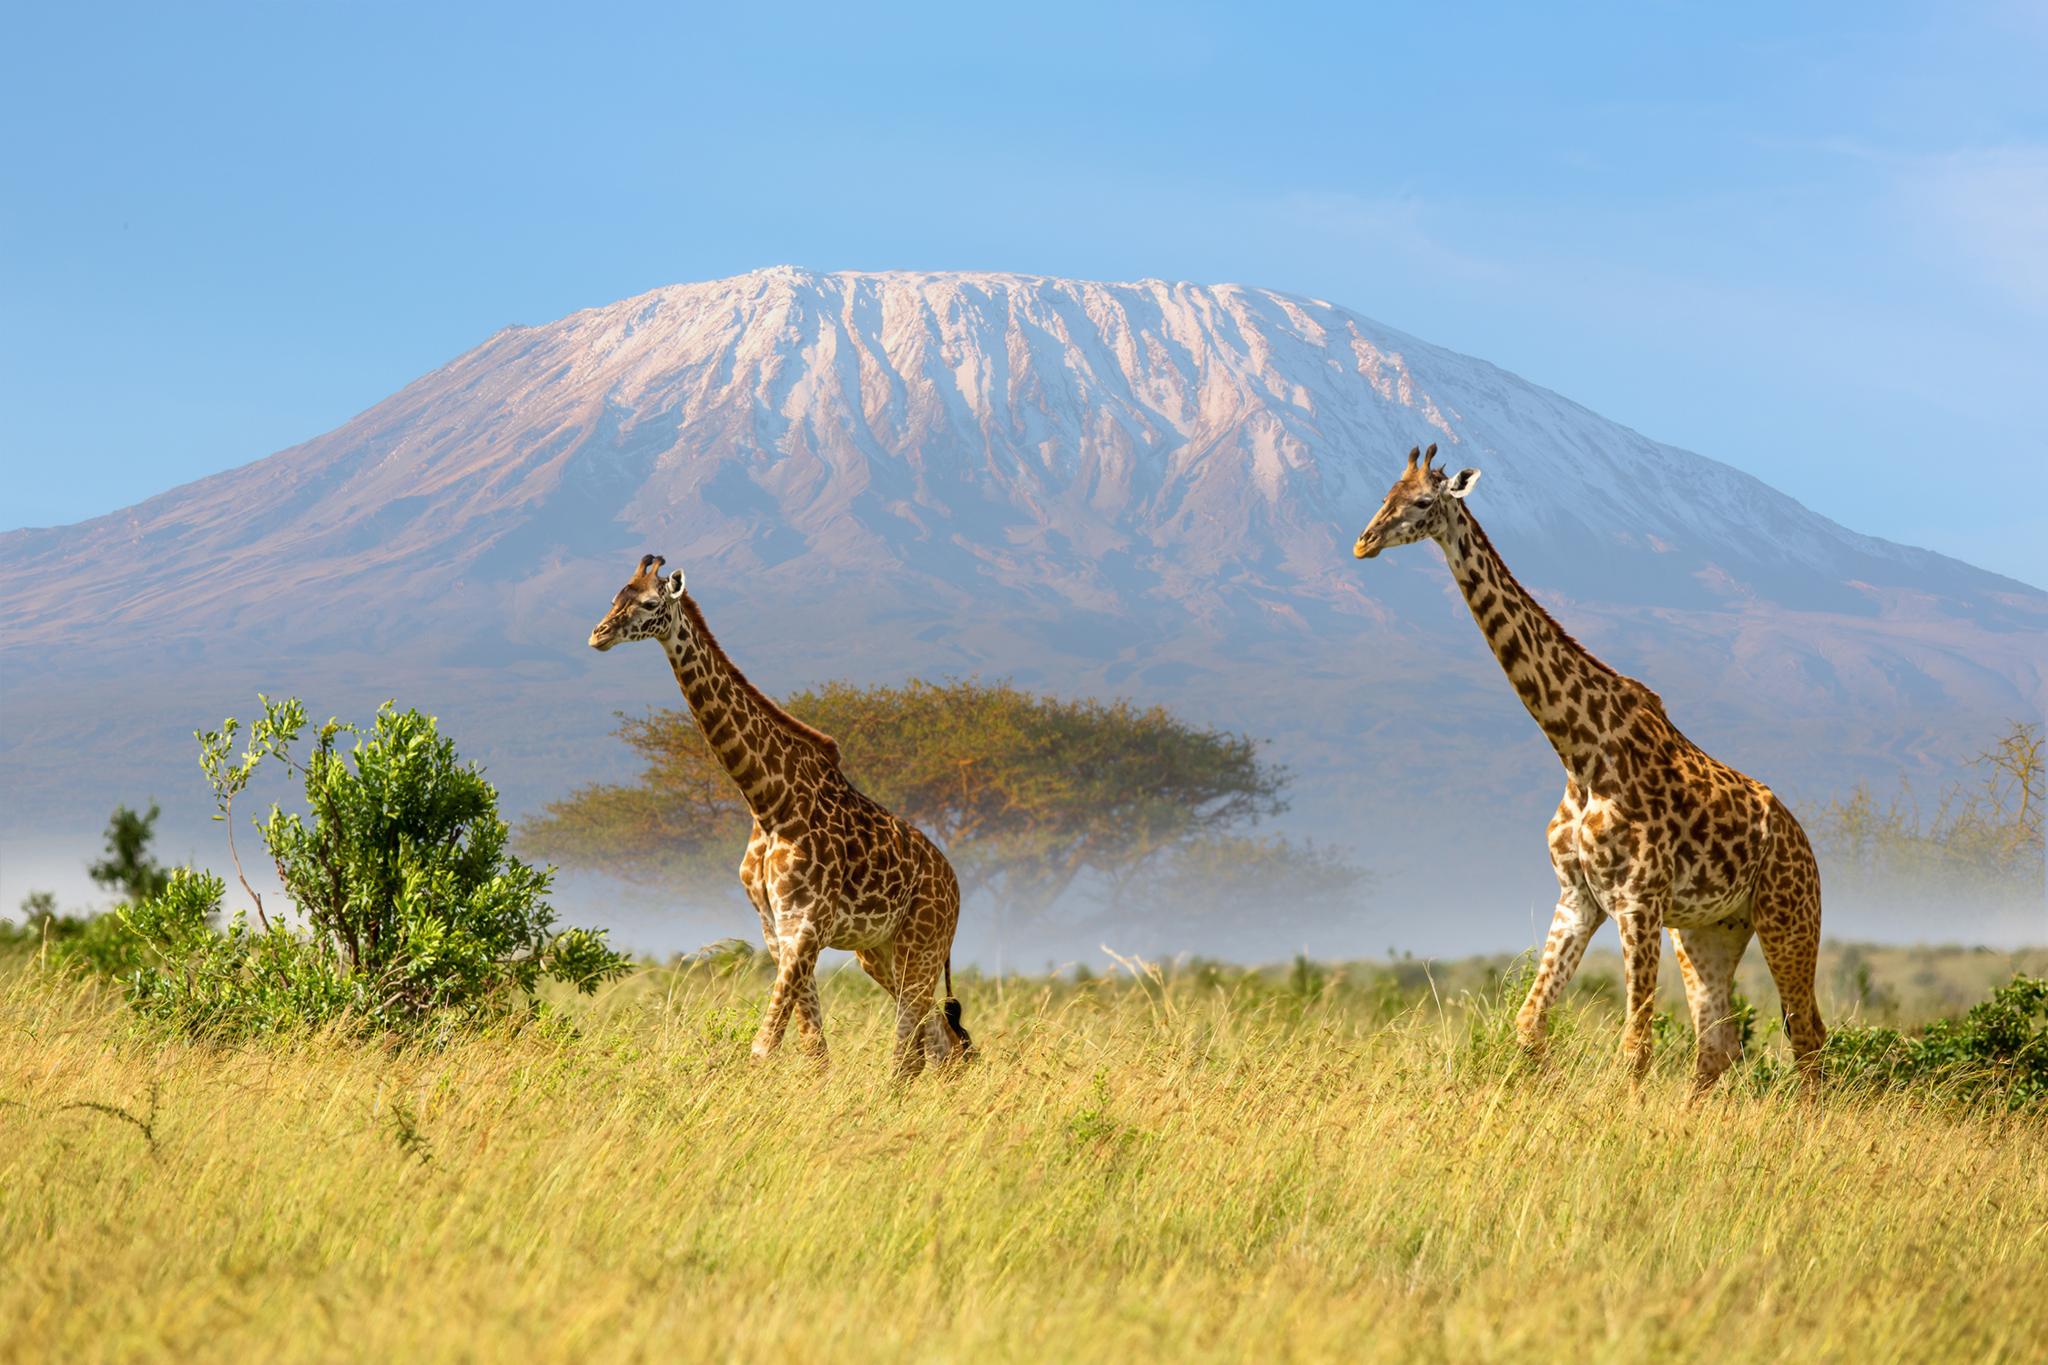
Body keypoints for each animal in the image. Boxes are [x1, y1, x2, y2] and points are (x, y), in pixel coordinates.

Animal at [593, 556, 974, 1080]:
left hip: (923, 942)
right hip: (878, 952)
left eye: (650, 604)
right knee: (937, 1037)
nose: (599, 634)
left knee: (912, 1046)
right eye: (614, 597)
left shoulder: (806, 924)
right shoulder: (776, 928)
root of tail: (954, 887)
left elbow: (765, 1044)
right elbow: (813, 1047)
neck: (768, 802)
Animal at [1359, 444, 1826, 1096]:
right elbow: (1529, 1025)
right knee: (1719, 1044)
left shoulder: (1638, 900)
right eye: (1384, 495)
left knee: (1806, 1037)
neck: (1579, 753)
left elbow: (1634, 1047)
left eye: (1424, 502)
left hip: (1788, 916)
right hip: (1710, 929)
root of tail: (1802, 840)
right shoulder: (1578, 895)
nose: (1364, 542)